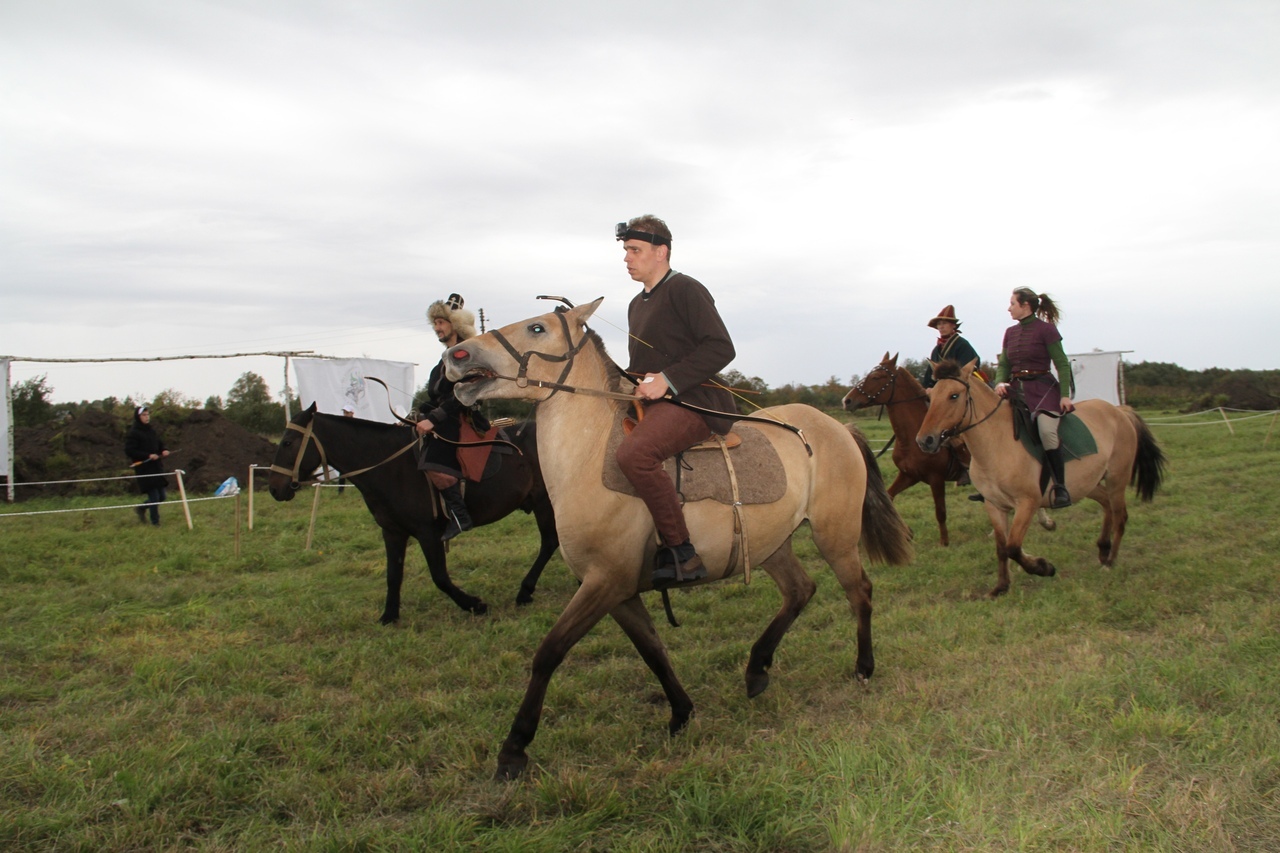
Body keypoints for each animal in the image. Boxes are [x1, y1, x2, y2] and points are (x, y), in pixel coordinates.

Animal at [445, 297, 916, 778]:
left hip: (835, 536)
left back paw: (863, 666)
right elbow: (652, 650)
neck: (591, 458)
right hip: (772, 545)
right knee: (801, 591)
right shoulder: (620, 591)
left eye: (537, 328)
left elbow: (549, 652)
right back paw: (757, 669)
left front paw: (514, 748)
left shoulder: (604, 582)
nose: (455, 356)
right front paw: (681, 712)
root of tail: (836, 427)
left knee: (859, 592)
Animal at [839, 350, 1049, 545]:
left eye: (876, 377)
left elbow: (940, 511)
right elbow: (889, 497)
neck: (910, 438)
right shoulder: (909, 475)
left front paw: (944, 542)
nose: (846, 401)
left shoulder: (936, 478)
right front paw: (906, 532)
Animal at [916, 358, 1167, 596]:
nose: (925, 441)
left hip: (1117, 479)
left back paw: (1110, 561)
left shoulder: (1028, 503)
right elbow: (1002, 548)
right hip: (1088, 483)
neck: (997, 442)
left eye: (954, 395)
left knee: (1120, 516)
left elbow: (1013, 547)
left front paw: (1043, 567)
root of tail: (1119, 411)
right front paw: (1001, 587)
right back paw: (1103, 550)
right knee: (1106, 504)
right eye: (930, 396)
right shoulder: (995, 505)